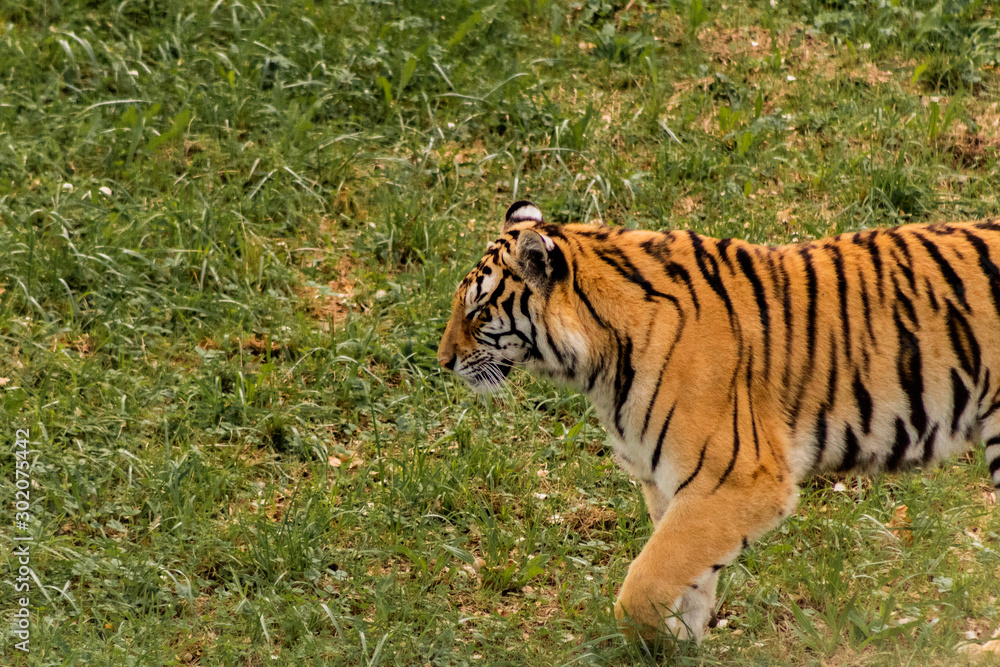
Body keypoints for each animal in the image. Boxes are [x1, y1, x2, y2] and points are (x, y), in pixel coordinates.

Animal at [436, 200, 1000, 640]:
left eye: (478, 311)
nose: (442, 361)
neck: (599, 361)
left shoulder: (737, 479)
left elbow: (644, 585)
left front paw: (651, 644)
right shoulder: (671, 485)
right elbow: (685, 577)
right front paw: (678, 643)